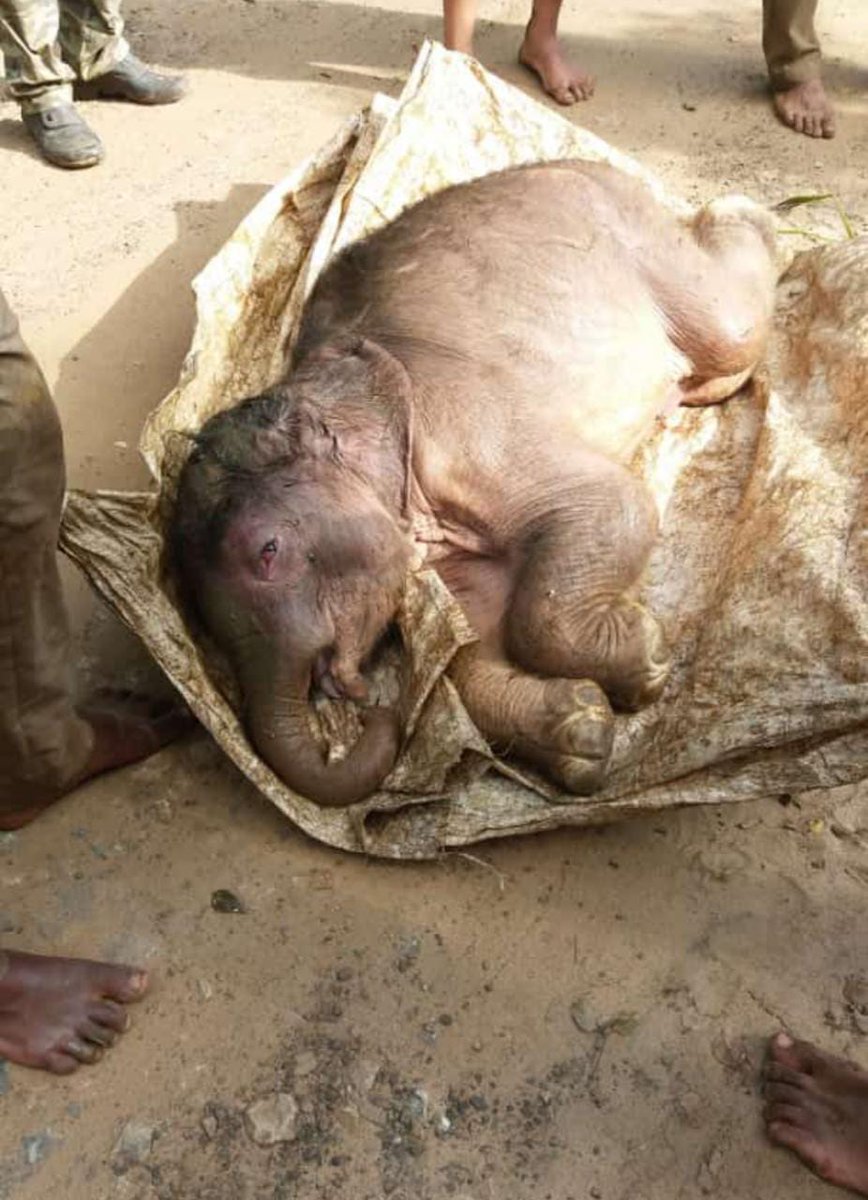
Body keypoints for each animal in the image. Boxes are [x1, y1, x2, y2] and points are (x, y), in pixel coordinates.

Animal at [169, 160, 777, 806]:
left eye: (269, 551)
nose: (375, 709)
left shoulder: (471, 435)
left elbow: (616, 504)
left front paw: (648, 655)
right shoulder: (442, 553)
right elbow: (473, 644)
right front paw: (584, 732)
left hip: (647, 246)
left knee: (730, 323)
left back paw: (738, 209)